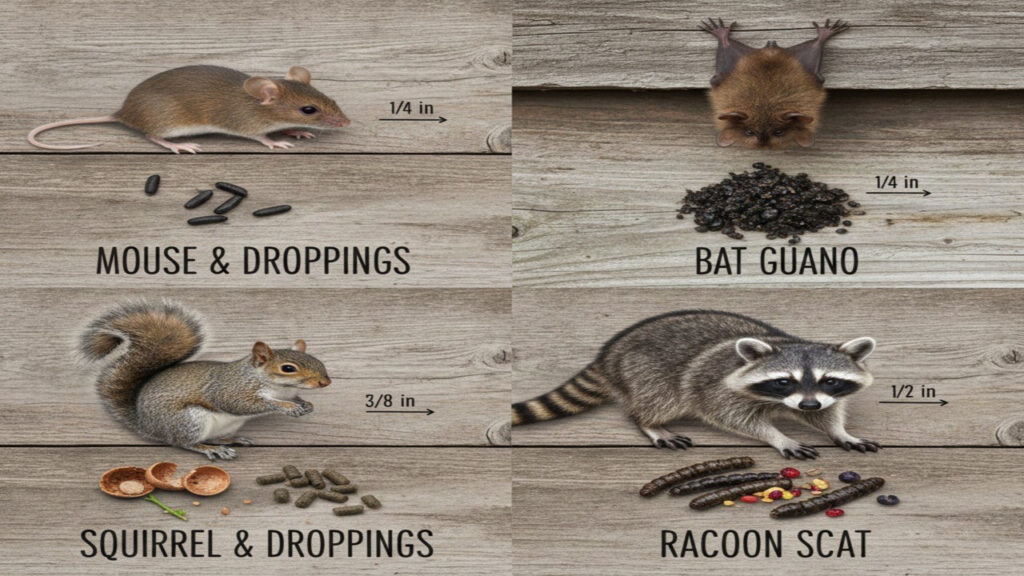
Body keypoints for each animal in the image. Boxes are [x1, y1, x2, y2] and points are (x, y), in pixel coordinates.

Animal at [79, 300, 332, 460]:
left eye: (316, 359)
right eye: (288, 368)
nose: (325, 383)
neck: (279, 388)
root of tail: (147, 426)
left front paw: (306, 404)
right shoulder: (231, 389)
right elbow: (245, 404)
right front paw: (287, 407)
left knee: (214, 438)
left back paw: (233, 440)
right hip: (189, 420)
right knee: (184, 443)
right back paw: (211, 449)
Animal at [511, 310, 879, 459]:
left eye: (829, 380)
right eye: (782, 381)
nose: (807, 403)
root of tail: (610, 353)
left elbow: (825, 414)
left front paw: (840, 431)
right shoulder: (717, 387)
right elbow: (734, 417)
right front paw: (778, 436)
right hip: (646, 372)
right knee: (660, 399)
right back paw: (650, 423)